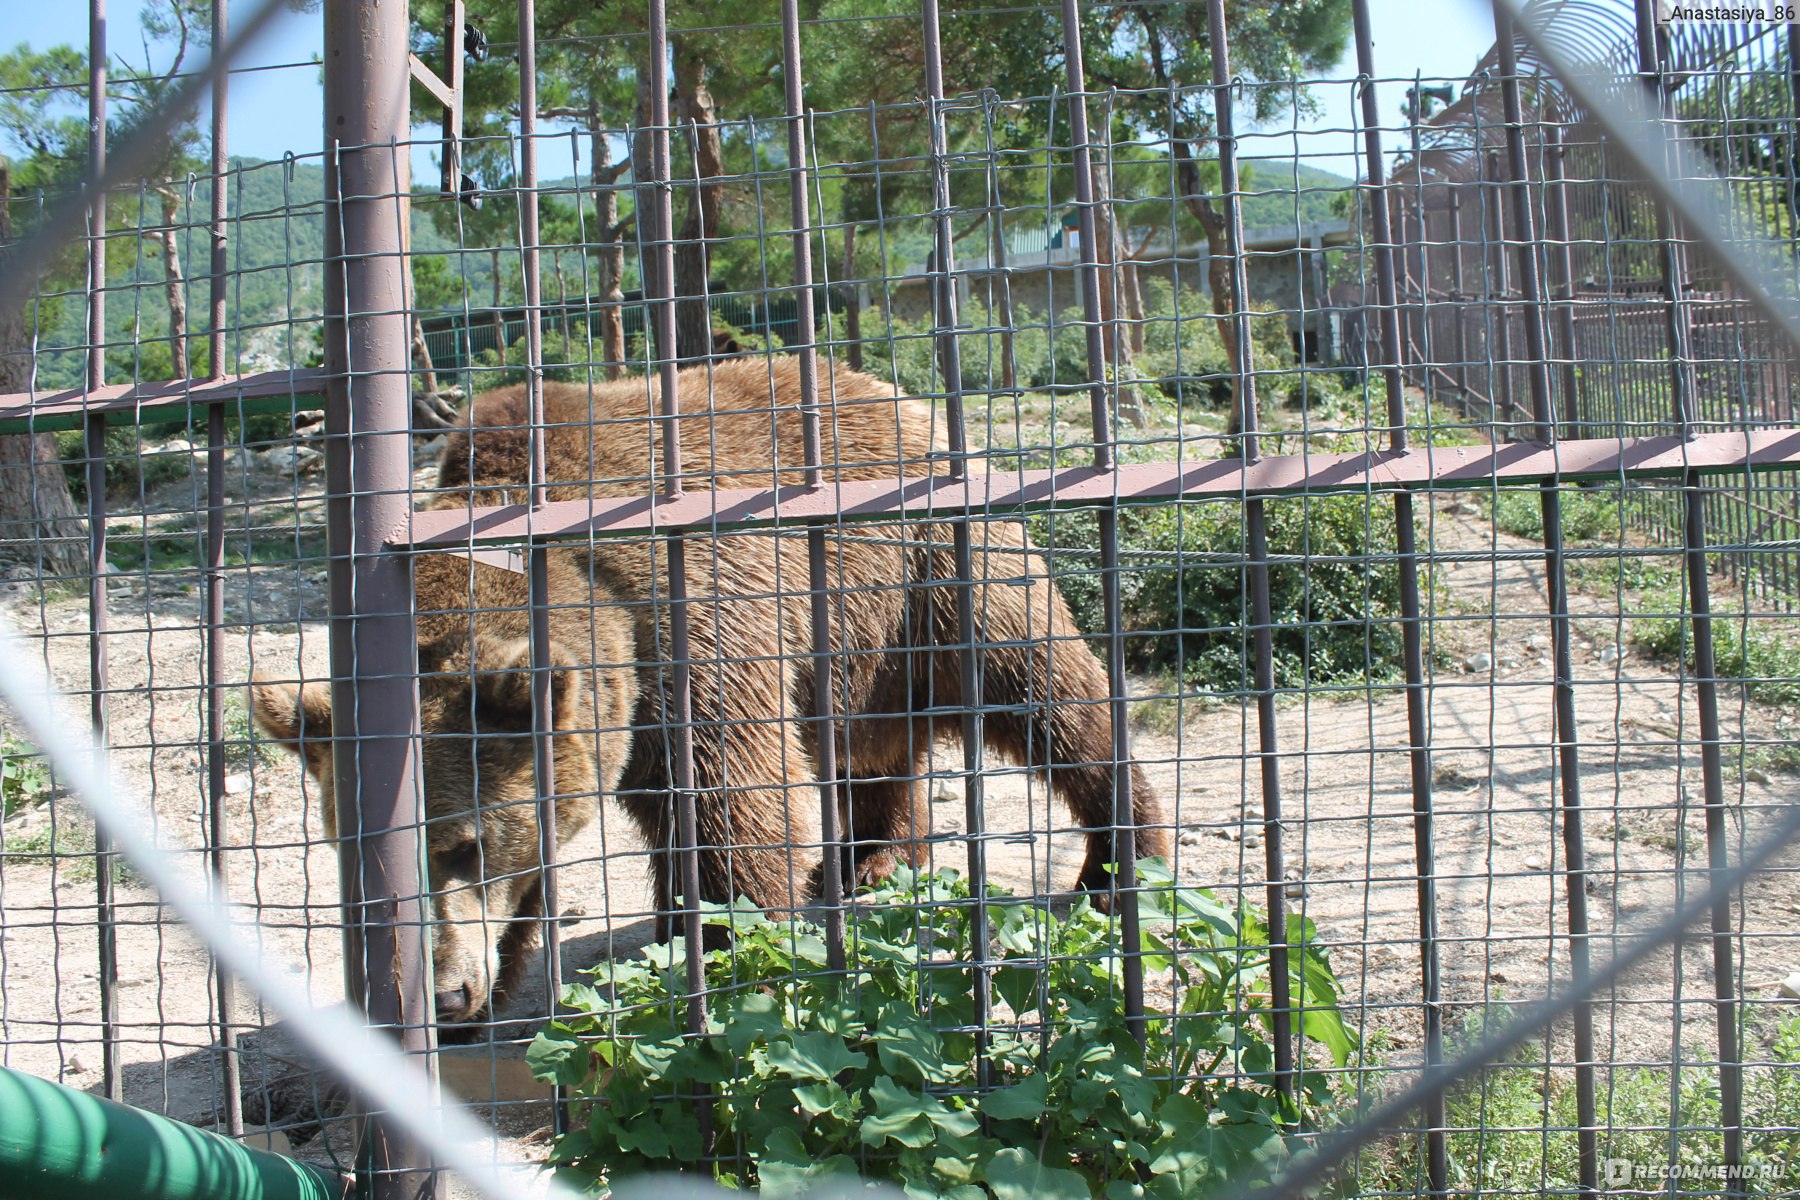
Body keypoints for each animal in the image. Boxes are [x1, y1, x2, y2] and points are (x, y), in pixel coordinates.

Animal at [253, 356, 1173, 1021]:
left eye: (463, 844)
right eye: (357, 860)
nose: (444, 995)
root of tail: (894, 393)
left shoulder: (694, 632)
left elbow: (737, 811)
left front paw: (726, 964)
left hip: (936, 569)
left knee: (1050, 695)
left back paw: (1116, 861)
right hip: (860, 653)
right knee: (876, 750)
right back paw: (873, 861)